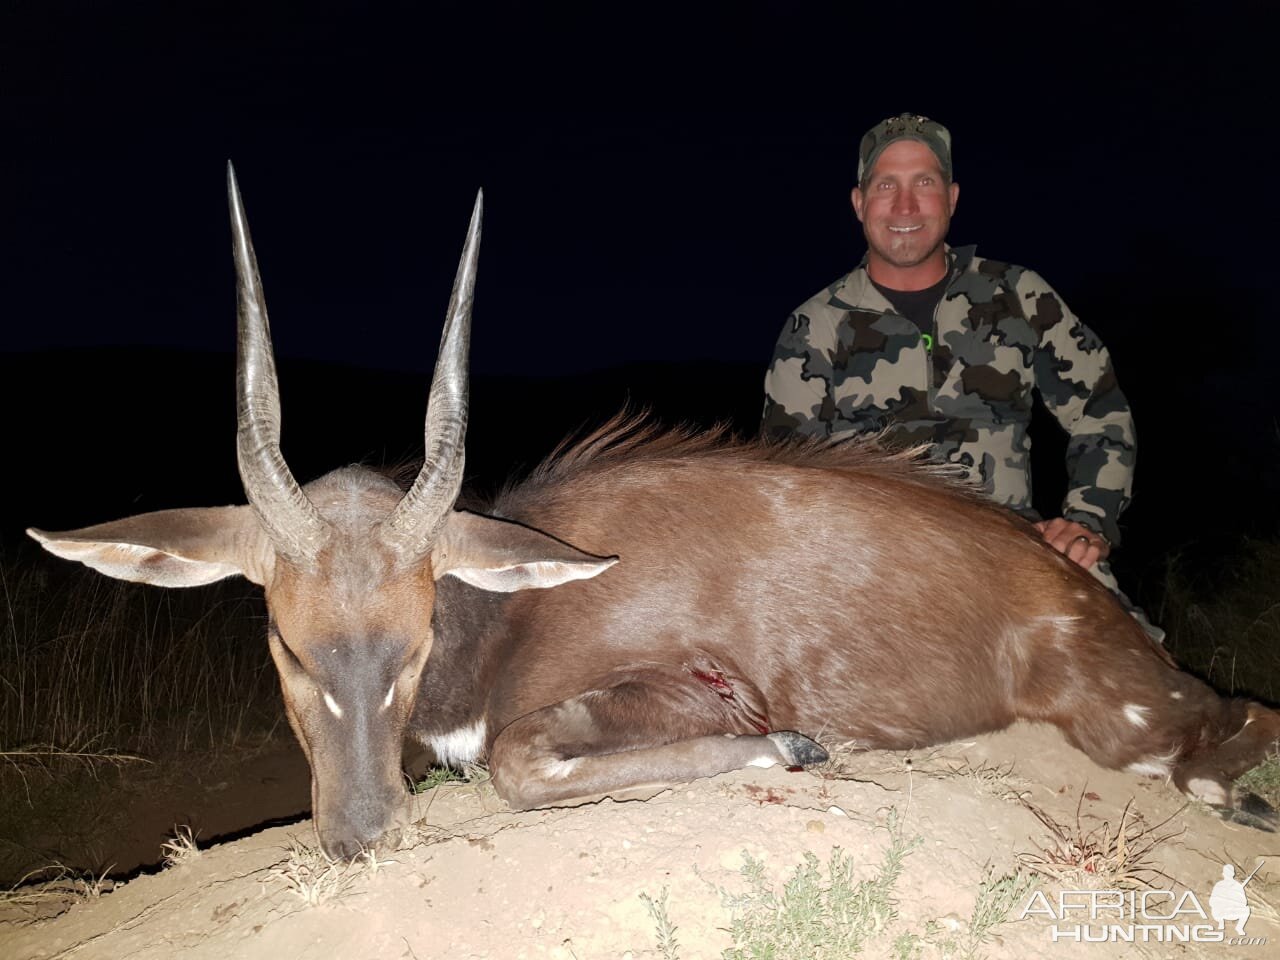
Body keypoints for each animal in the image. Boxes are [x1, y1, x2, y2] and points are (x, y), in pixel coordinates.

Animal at [27, 168, 1280, 860]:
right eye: (286, 643)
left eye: (416, 638)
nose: (358, 834)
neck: (507, 617)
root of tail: (1080, 592)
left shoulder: (670, 687)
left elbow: (522, 761)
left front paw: (791, 748)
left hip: (1124, 722)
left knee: (1227, 736)